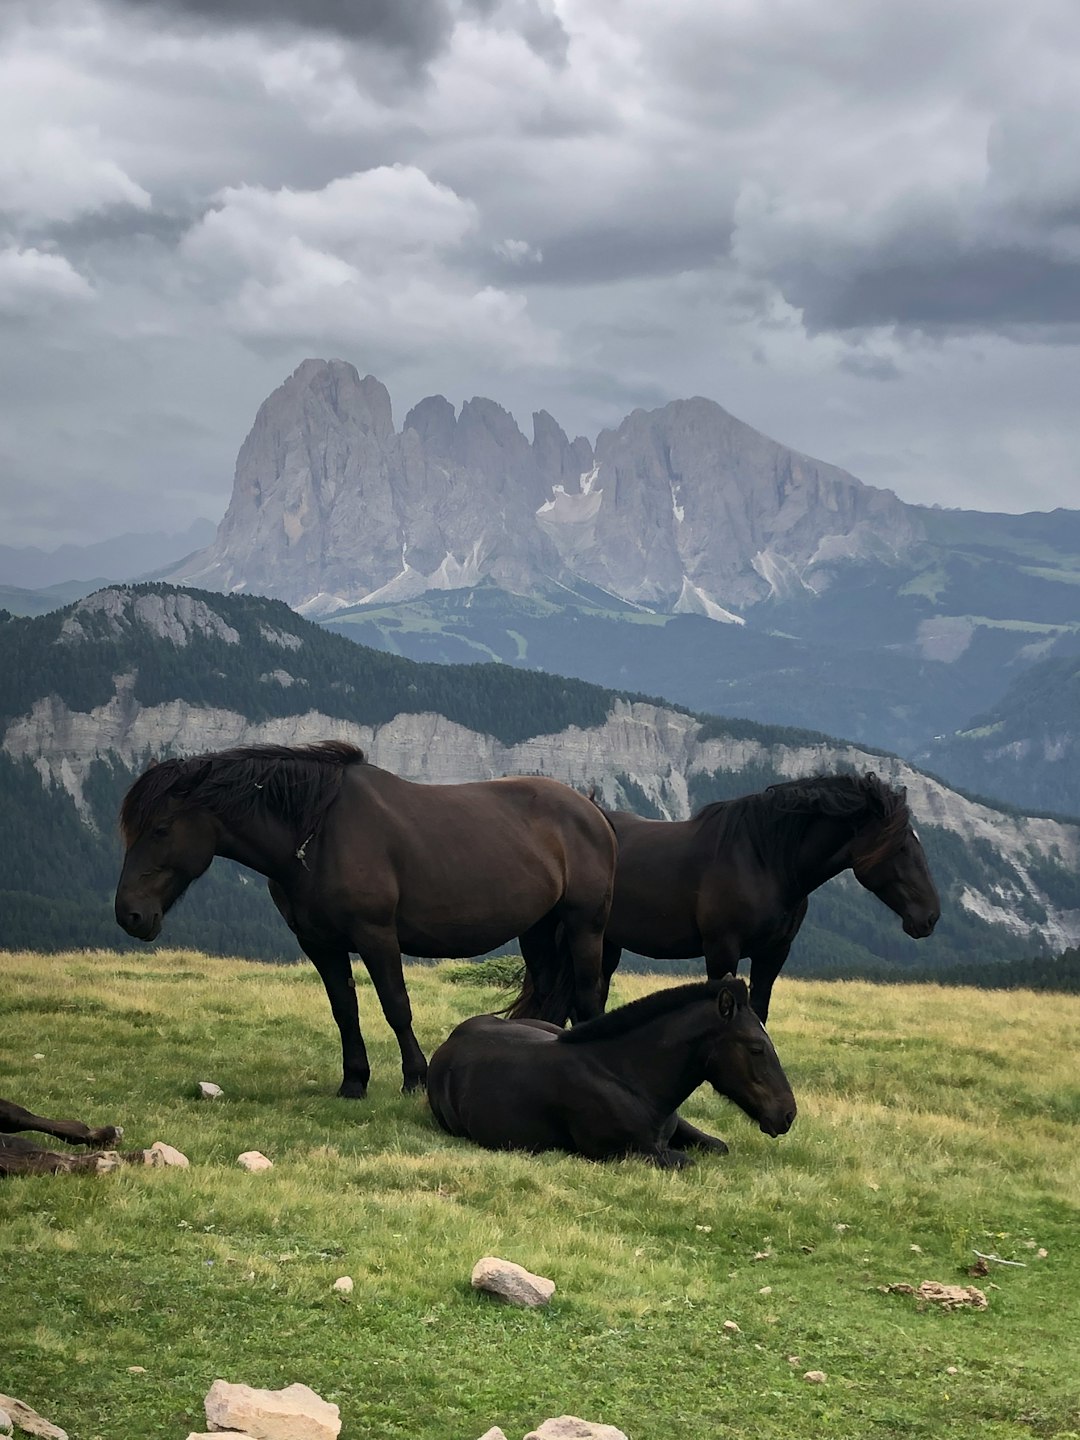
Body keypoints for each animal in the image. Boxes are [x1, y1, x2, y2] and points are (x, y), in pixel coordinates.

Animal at [115, 748, 616, 1094]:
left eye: (161, 829)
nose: (130, 914)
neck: (317, 836)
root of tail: (592, 811)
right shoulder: (320, 944)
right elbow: (344, 1009)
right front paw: (354, 1081)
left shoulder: (376, 936)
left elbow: (396, 1005)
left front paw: (415, 1077)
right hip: (538, 931)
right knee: (551, 996)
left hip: (584, 926)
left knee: (587, 995)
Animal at [429, 973, 794, 1163]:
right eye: (756, 1048)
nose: (788, 1114)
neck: (626, 1076)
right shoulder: (628, 1152)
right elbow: (687, 1161)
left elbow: (718, 1146)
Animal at [512, 766, 944, 1025]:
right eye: (901, 847)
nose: (930, 917)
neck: (764, 860)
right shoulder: (722, 949)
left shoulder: (774, 954)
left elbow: (760, 1009)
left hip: (607, 944)